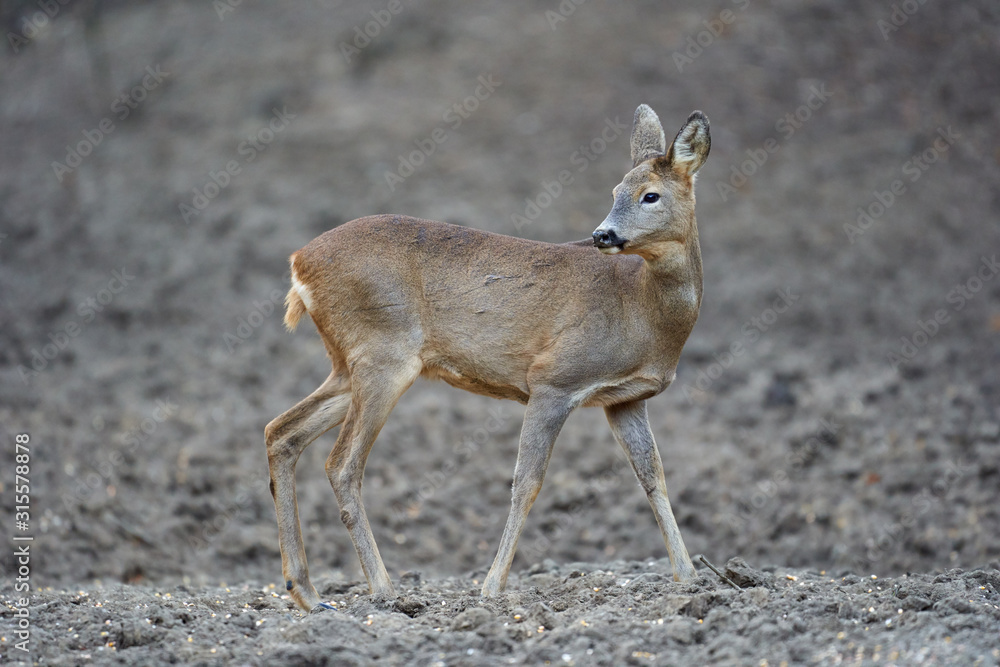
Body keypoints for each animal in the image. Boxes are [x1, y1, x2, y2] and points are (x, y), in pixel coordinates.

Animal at [264, 104, 711, 612]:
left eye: (650, 195)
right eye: (616, 191)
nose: (602, 234)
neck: (642, 310)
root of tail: (299, 263)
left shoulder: (625, 399)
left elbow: (653, 476)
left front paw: (689, 576)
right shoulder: (554, 380)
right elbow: (527, 482)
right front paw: (491, 586)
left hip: (348, 364)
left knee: (281, 431)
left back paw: (306, 591)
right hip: (383, 355)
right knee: (341, 464)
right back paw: (384, 590)